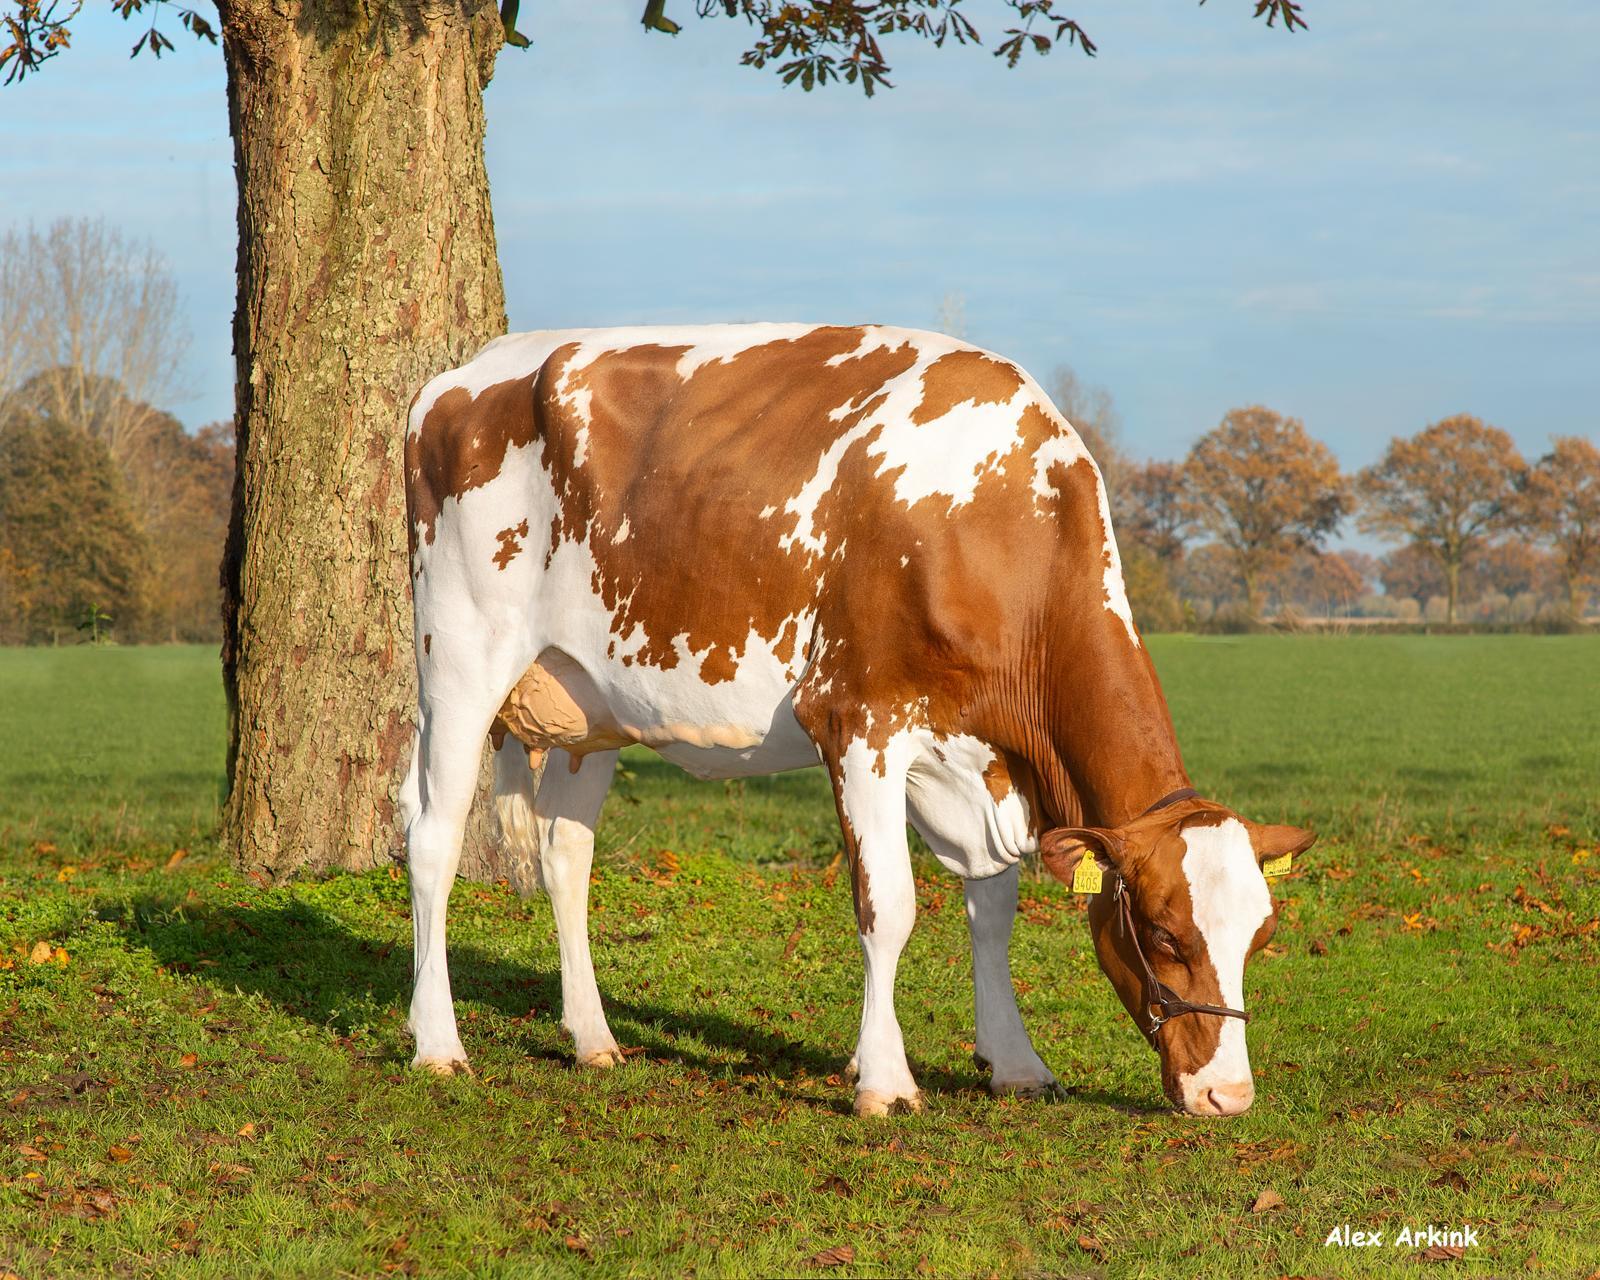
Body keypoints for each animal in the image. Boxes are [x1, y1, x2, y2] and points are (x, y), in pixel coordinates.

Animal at [396, 324, 1312, 1113]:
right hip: (461, 659)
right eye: (1163, 935)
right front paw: (884, 1079)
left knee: (566, 852)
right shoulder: (859, 723)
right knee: (433, 835)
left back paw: (592, 1038)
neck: (994, 531)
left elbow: (992, 905)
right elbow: (889, 906)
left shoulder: (978, 758)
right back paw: (437, 1043)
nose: (1230, 1097)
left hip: (591, 704)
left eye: (1260, 938)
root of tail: (458, 377)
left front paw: (1013, 1061)